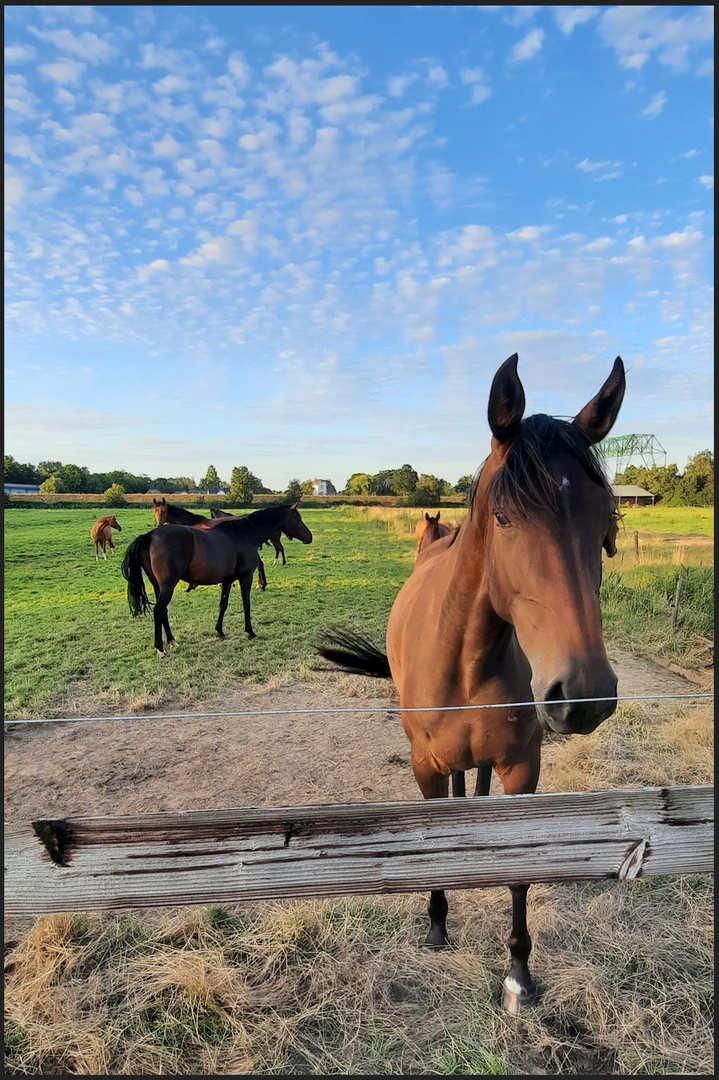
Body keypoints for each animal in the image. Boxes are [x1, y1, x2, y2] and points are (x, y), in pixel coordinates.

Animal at [120, 498, 310, 656]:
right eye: (298, 519)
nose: (310, 537)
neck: (245, 534)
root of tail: (150, 536)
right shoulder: (245, 577)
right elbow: (246, 604)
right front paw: (250, 631)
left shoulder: (227, 580)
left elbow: (223, 605)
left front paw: (220, 631)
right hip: (168, 585)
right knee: (159, 610)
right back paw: (160, 648)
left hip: (159, 586)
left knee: (163, 611)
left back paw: (172, 641)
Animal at [317, 352, 626, 1010]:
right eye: (504, 519)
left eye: (606, 525)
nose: (584, 695)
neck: (464, 658)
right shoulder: (426, 768)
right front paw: (437, 925)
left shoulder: (524, 770)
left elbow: (518, 873)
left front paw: (519, 974)